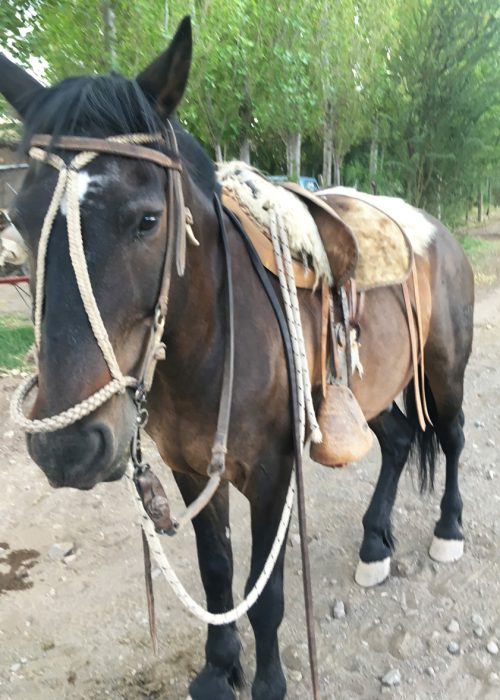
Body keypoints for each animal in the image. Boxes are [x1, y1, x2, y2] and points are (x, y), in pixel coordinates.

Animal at [0, 16, 474, 700]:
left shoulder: (273, 471)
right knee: (400, 440)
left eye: (148, 219)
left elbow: (265, 590)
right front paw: (218, 667)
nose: (67, 447)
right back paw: (374, 546)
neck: (210, 340)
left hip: (444, 372)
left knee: (453, 439)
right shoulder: (192, 469)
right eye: (19, 216)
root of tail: (437, 230)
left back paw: (448, 533)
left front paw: (268, 680)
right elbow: (217, 569)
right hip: (364, 394)